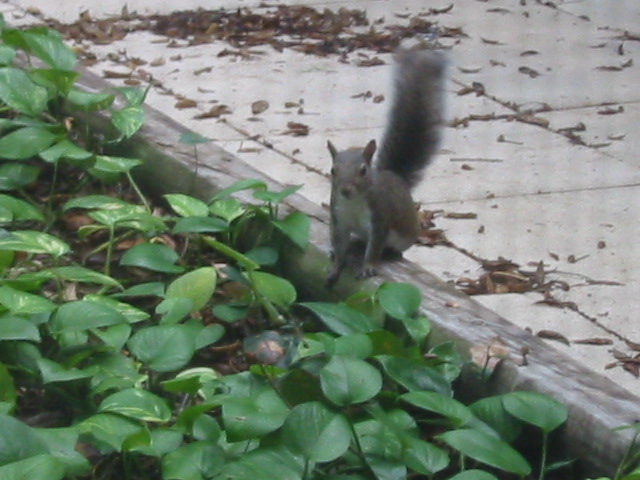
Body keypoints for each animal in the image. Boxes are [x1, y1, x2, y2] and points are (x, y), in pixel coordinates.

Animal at [326, 47, 447, 286]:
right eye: (333, 170)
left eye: (363, 170)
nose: (345, 190)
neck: (353, 203)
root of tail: (396, 178)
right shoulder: (338, 217)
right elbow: (340, 243)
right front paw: (335, 267)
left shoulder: (379, 218)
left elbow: (374, 248)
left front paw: (367, 267)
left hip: (405, 232)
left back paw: (393, 252)